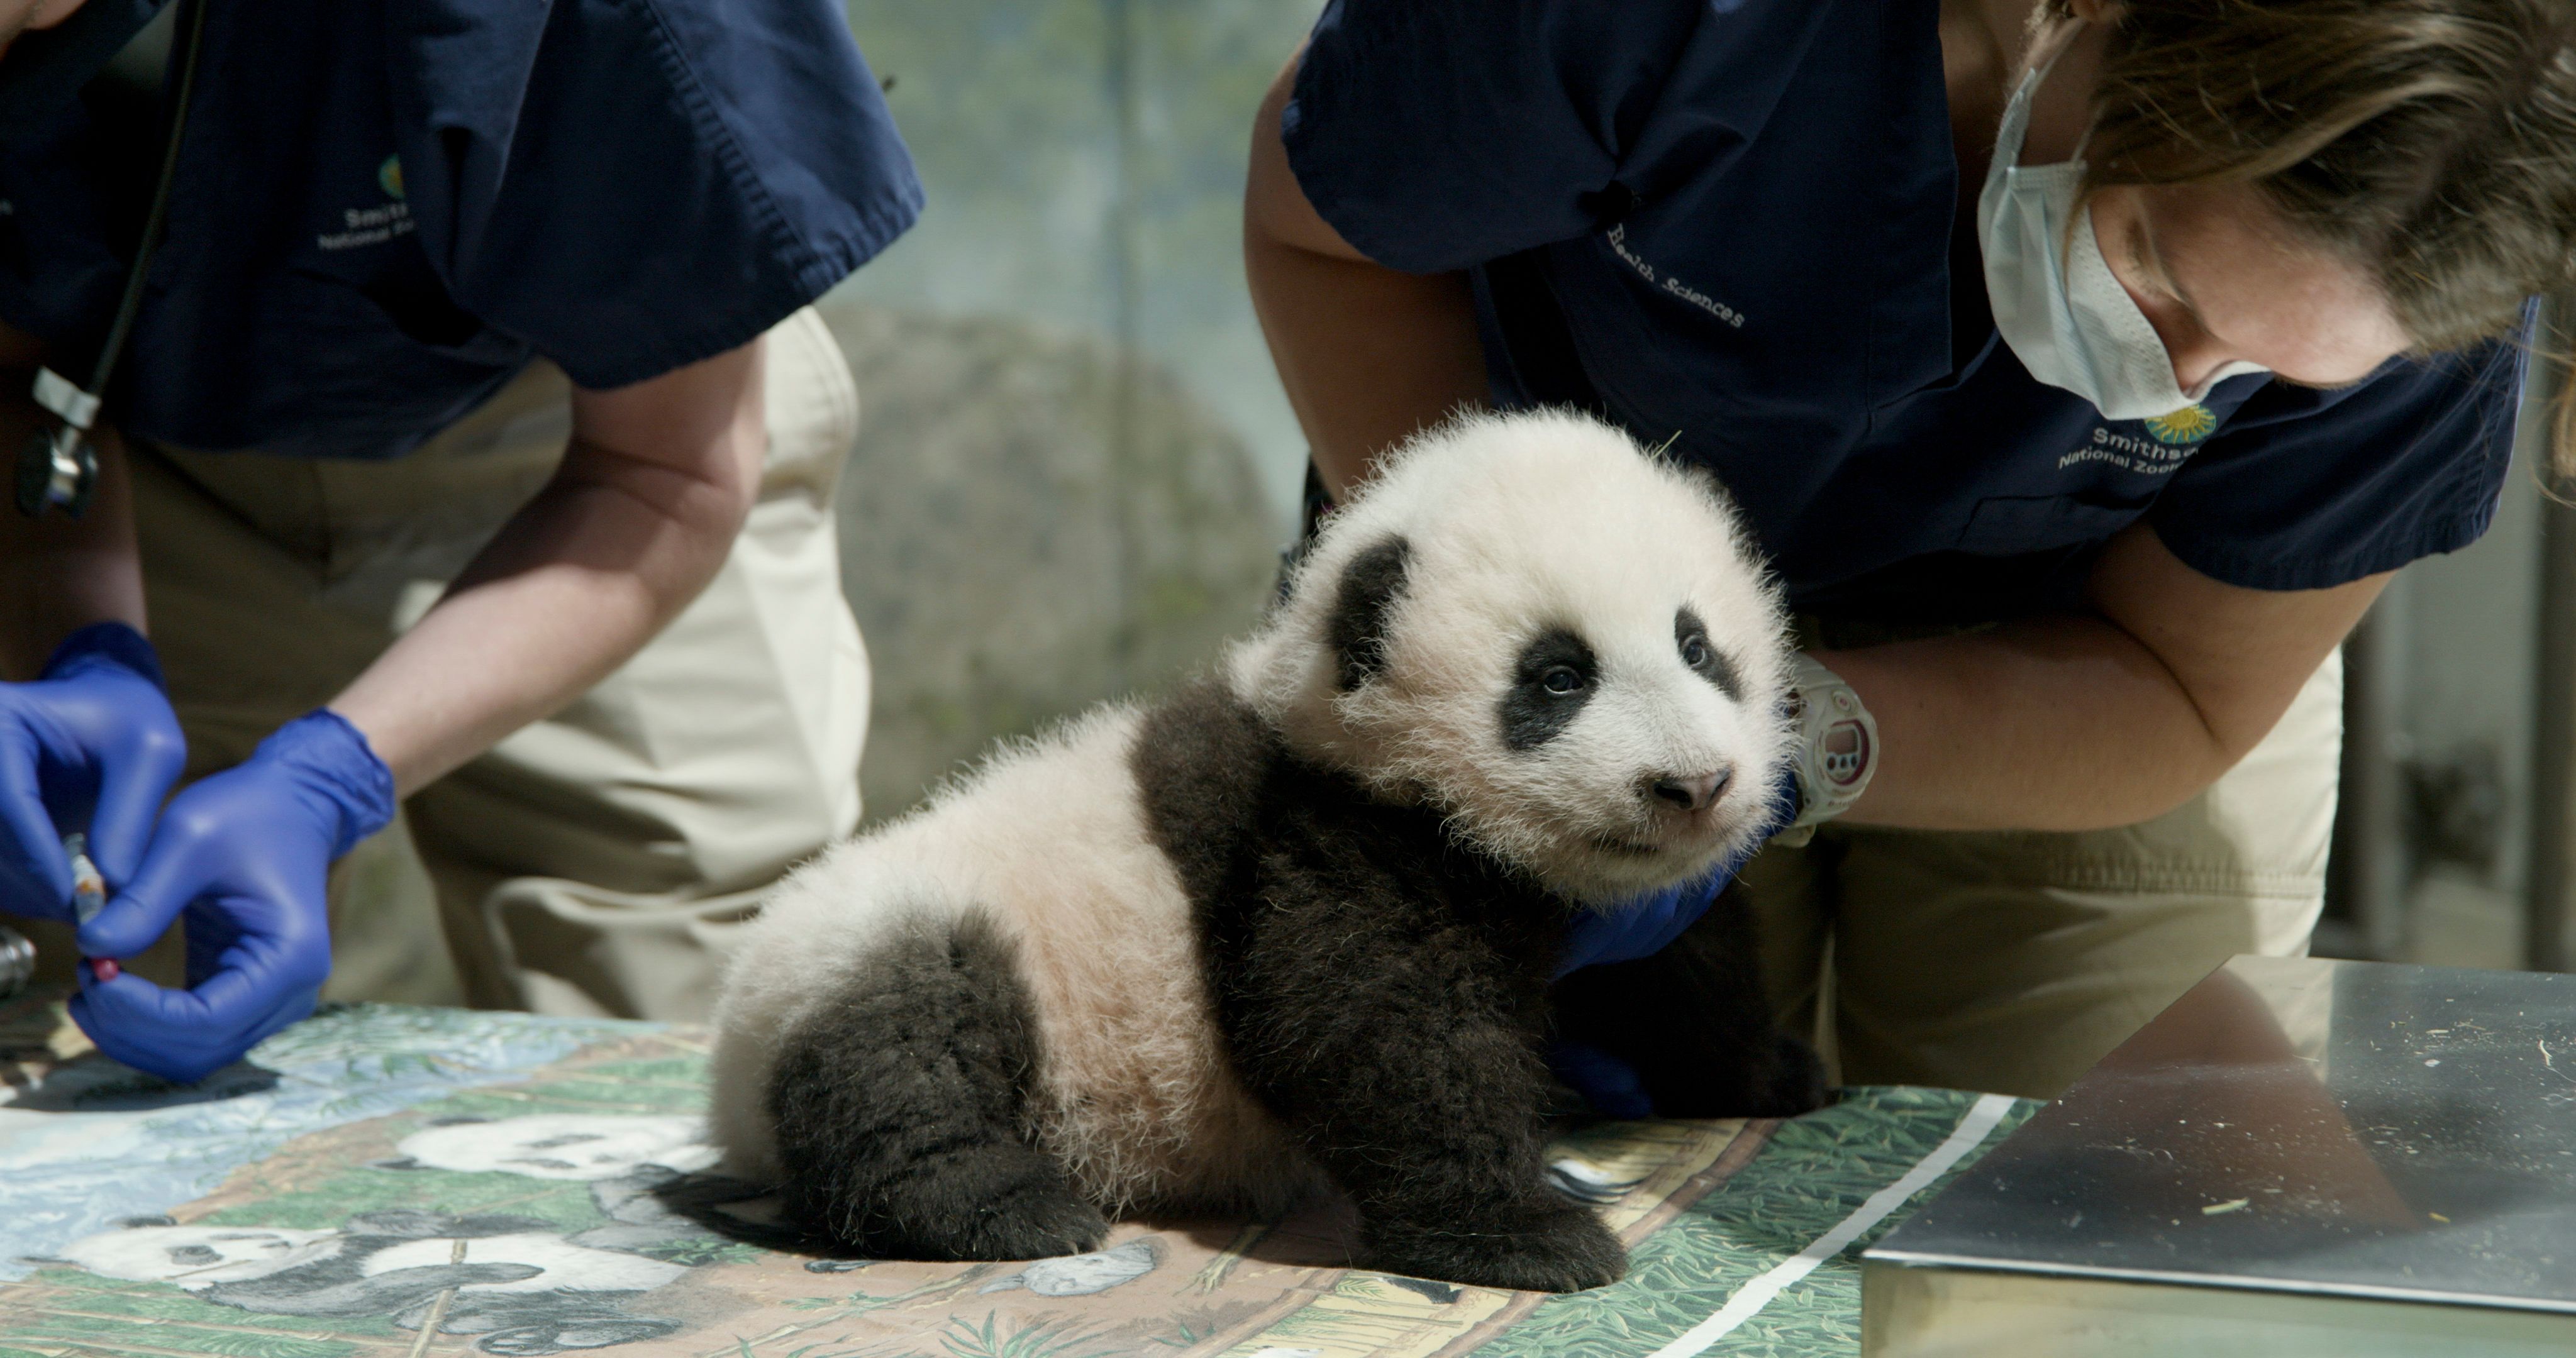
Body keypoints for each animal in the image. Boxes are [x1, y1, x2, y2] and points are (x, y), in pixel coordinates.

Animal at [709, 409, 1827, 1294]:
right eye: (1558, 677)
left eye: (1698, 647)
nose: (1694, 786)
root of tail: (728, 1089)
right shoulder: (1320, 831)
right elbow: (1375, 1028)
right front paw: (1528, 1234)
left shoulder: (1621, 909)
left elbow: (1683, 970)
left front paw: (1768, 1074)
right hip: (886, 939)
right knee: (906, 1044)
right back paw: (1006, 1205)